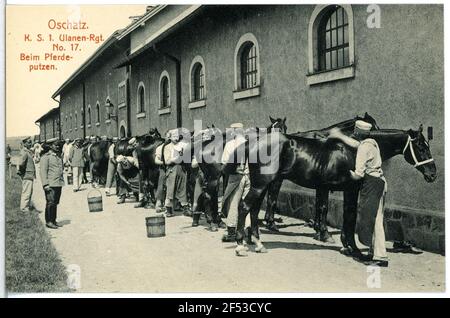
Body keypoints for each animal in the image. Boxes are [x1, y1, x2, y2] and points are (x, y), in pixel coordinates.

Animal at [236, 124, 436, 256]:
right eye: (420, 146)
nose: (432, 174)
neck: (355, 149)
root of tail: (253, 142)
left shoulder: (345, 190)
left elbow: (347, 215)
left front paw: (345, 244)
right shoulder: (351, 188)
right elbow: (350, 215)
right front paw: (353, 248)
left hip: (263, 185)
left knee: (254, 210)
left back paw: (259, 244)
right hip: (261, 184)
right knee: (244, 207)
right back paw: (240, 245)